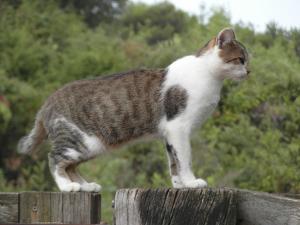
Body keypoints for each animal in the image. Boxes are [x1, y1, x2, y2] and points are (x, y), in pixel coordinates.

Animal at [17, 27, 251, 192]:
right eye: (240, 59)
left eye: (247, 60)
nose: (249, 71)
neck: (207, 75)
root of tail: (46, 103)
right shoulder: (179, 128)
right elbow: (185, 160)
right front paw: (192, 182)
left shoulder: (169, 134)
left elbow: (173, 163)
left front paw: (179, 185)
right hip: (79, 141)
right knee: (55, 159)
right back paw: (67, 187)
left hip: (91, 146)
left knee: (71, 166)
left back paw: (86, 186)